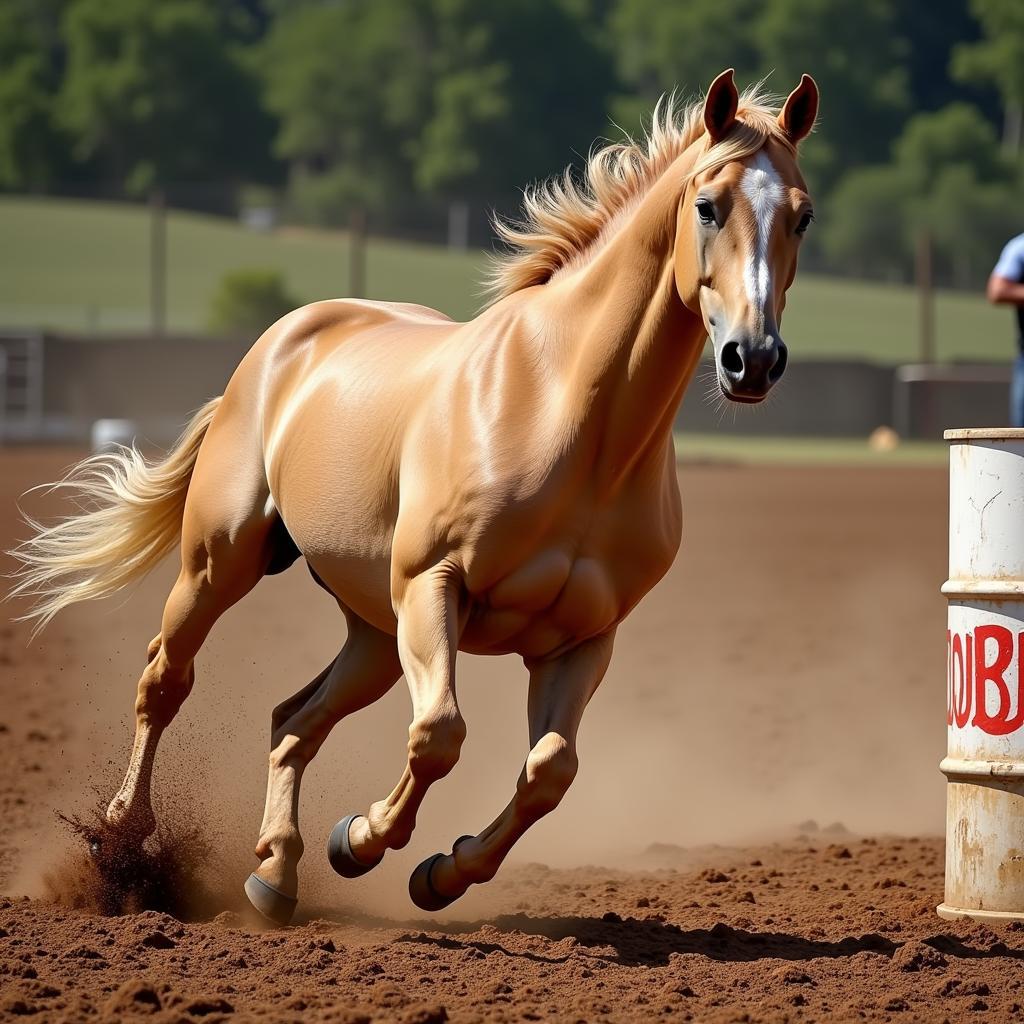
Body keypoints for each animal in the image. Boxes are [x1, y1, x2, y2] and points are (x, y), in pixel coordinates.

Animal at [12, 68, 819, 925]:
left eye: (802, 216)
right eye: (708, 205)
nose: (752, 359)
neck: (570, 420)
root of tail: (280, 344)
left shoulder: (582, 638)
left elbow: (550, 771)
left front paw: (439, 873)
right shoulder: (434, 585)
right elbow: (439, 736)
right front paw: (362, 840)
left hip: (373, 629)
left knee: (293, 720)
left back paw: (275, 872)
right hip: (223, 565)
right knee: (165, 680)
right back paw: (124, 840)